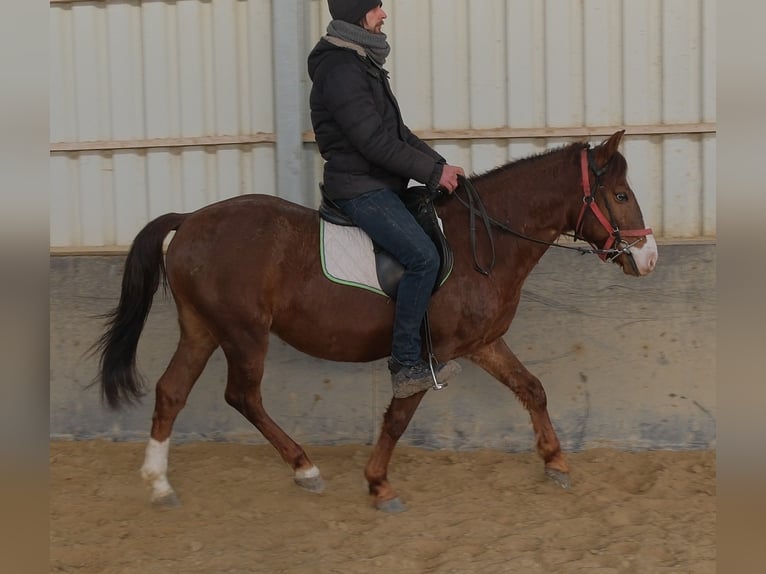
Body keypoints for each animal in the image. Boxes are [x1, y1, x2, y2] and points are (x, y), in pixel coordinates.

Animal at [95, 130, 658, 512]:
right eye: (622, 196)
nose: (648, 257)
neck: (481, 242)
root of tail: (190, 220)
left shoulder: (482, 343)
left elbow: (532, 389)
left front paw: (555, 461)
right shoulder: (432, 352)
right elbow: (398, 417)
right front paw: (379, 484)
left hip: (202, 328)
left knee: (171, 391)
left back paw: (160, 484)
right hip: (243, 333)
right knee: (243, 396)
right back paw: (304, 468)